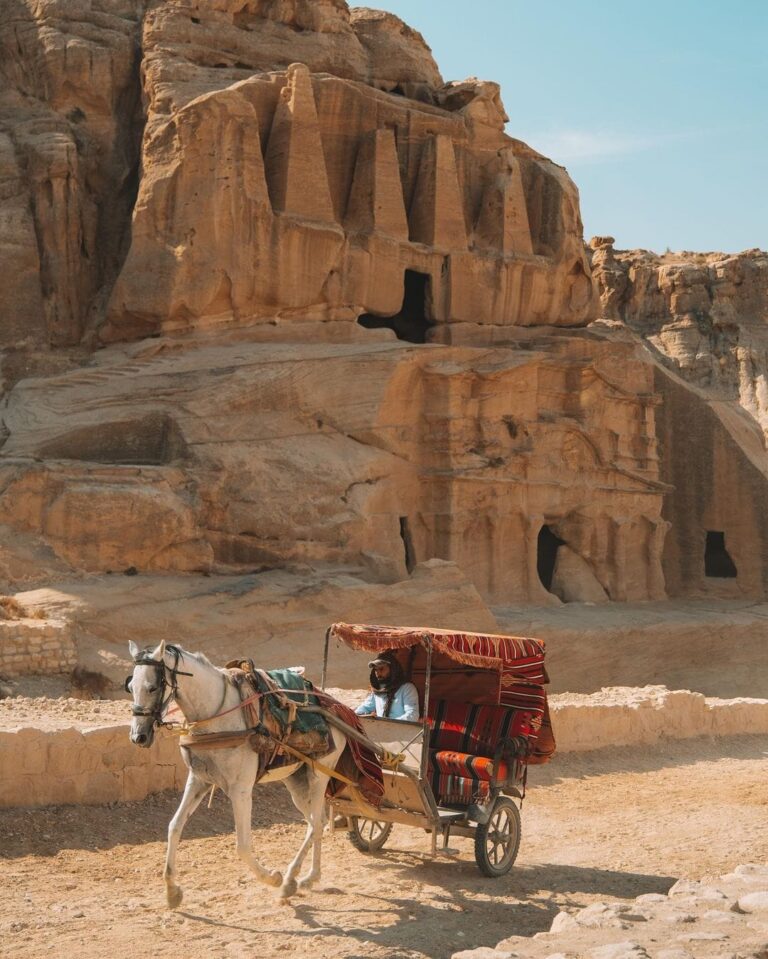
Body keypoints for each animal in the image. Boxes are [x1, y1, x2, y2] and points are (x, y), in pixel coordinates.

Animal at [127, 640, 348, 904]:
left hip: (318, 776)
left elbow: (242, 845)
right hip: (295, 780)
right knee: (317, 822)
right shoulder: (198, 780)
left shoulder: (240, 790)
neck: (216, 717)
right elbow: (174, 826)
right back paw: (302, 877)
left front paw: (271, 877)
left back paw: (297, 878)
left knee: (316, 824)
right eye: (130, 686)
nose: (138, 736)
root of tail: (337, 709)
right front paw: (172, 890)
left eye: (152, 687)